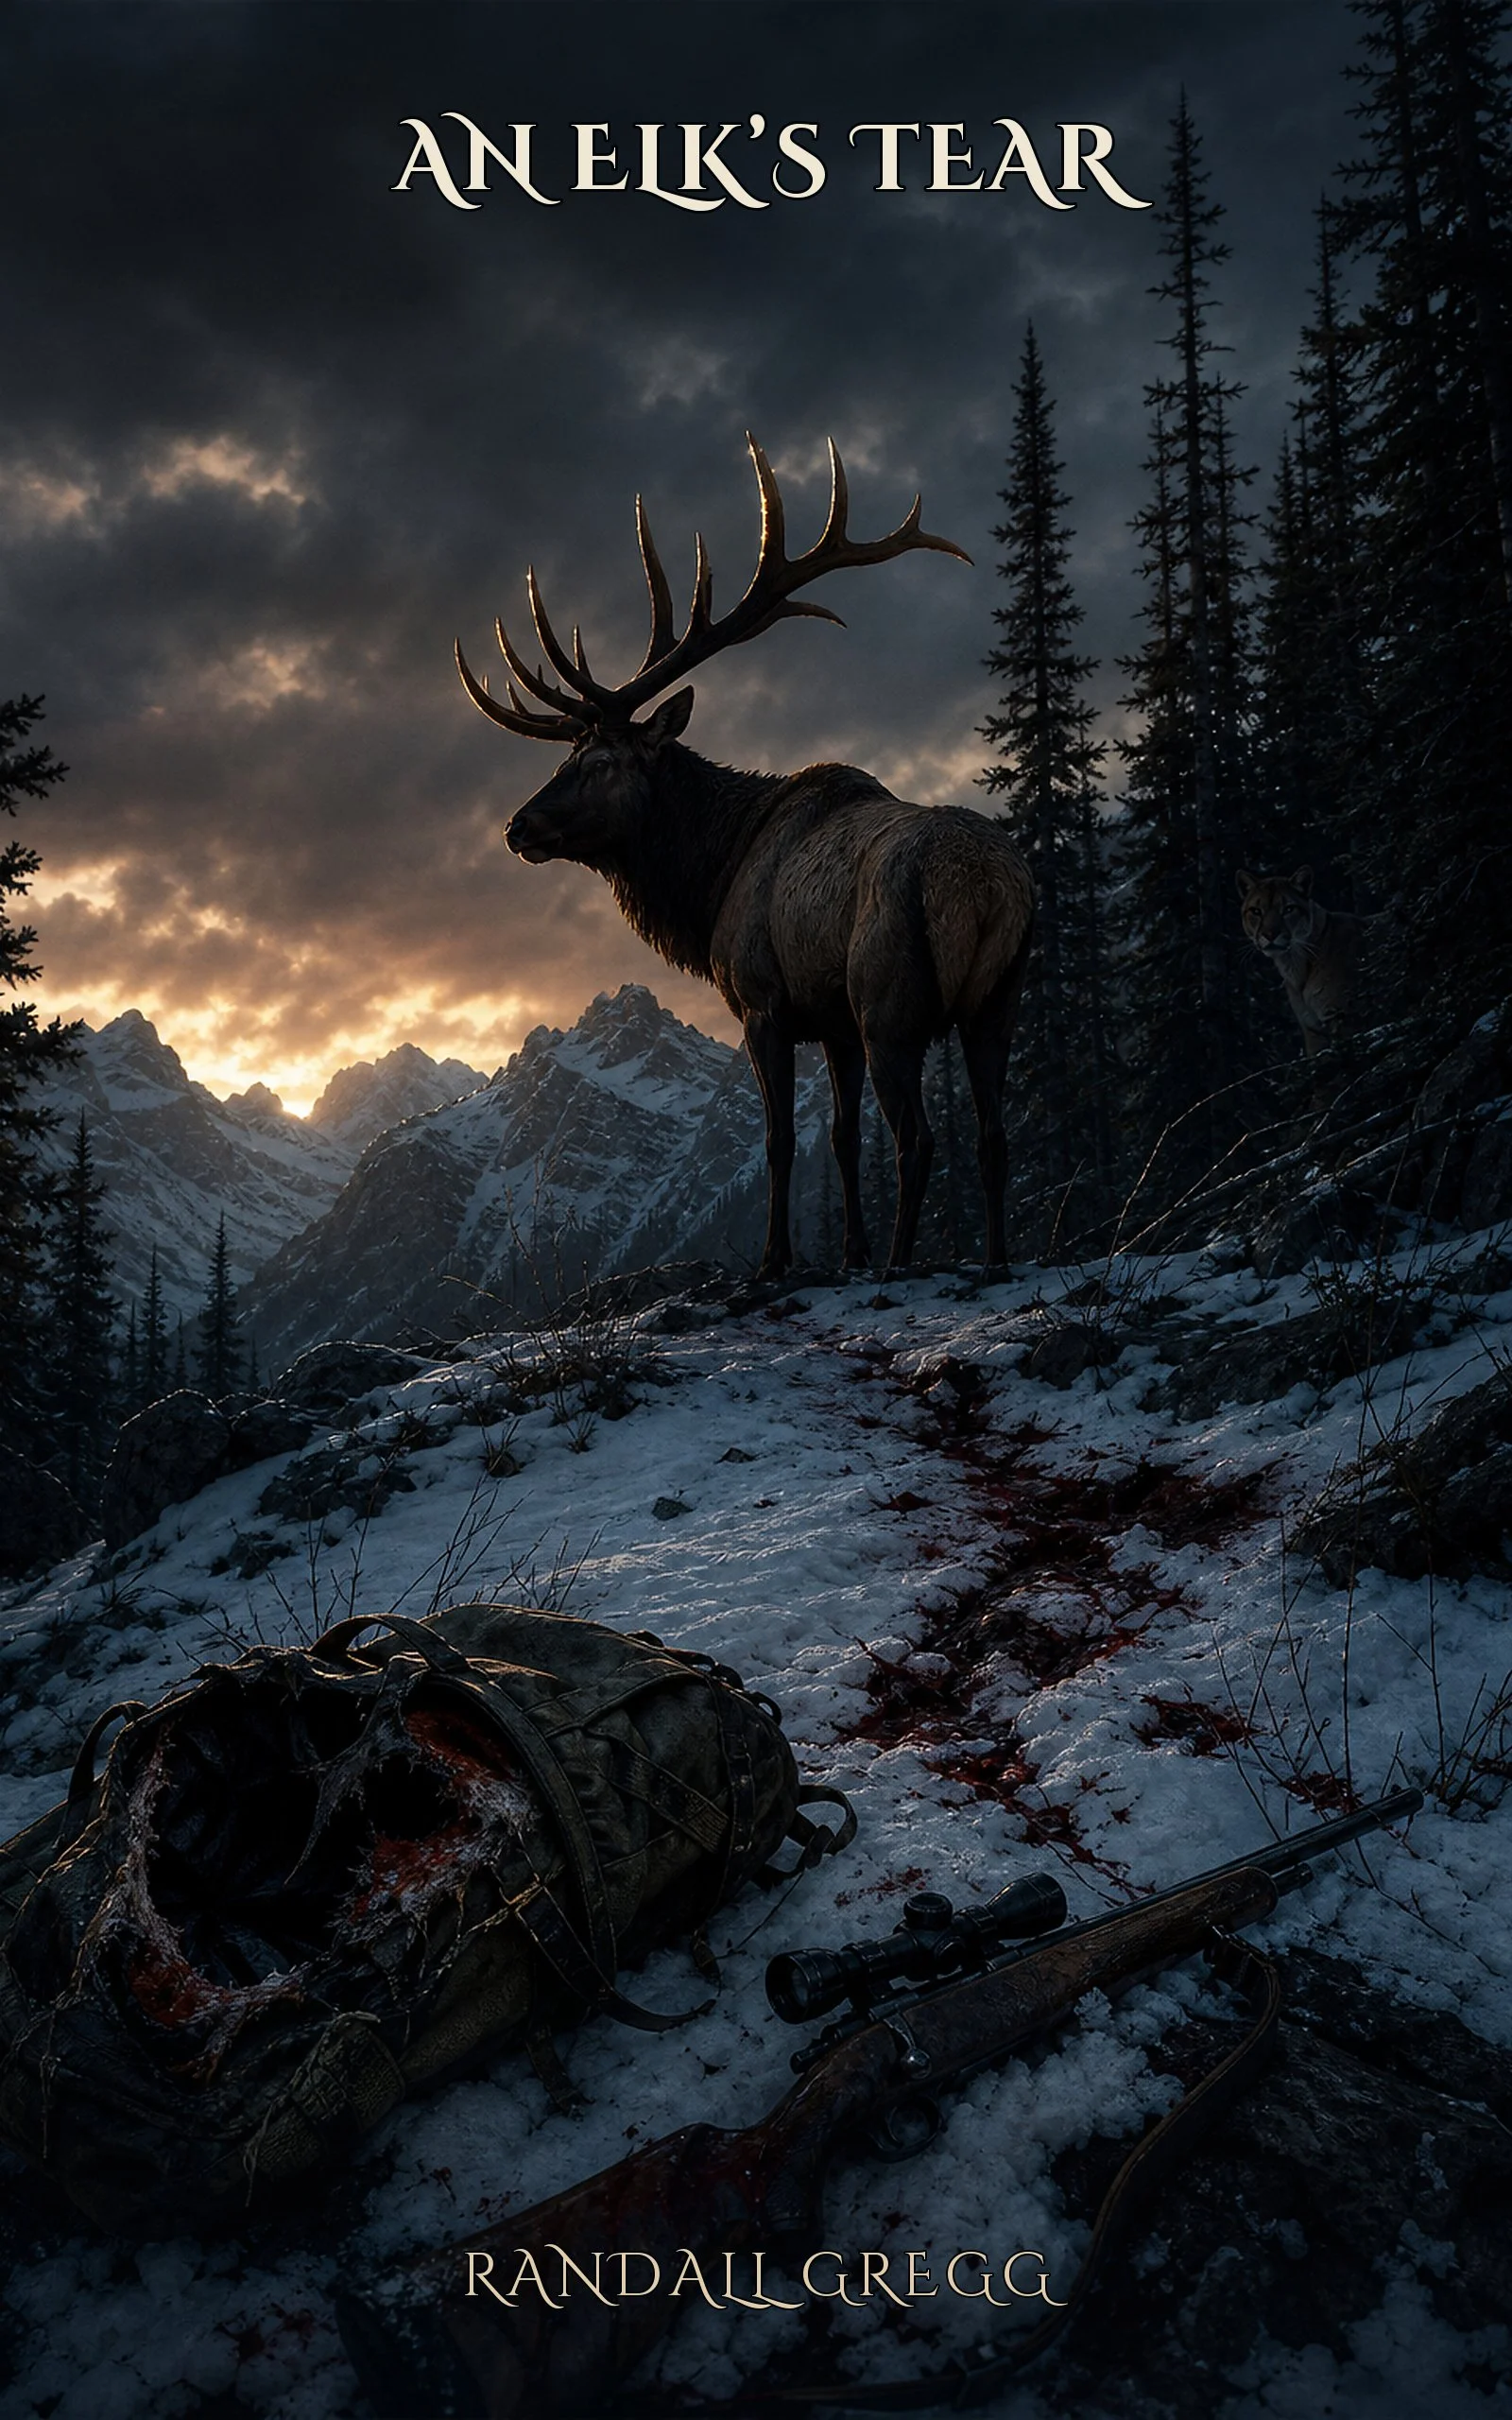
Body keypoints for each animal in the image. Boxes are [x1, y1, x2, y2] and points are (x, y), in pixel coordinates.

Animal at [456, 433, 1035, 1278]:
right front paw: (850, 1250)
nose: (518, 826)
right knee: (994, 1137)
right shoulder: (832, 1022)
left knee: (920, 1140)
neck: (712, 880)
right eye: (568, 757)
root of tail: (988, 888)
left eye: (600, 763)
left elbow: (781, 1140)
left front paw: (775, 1258)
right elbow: (842, 1138)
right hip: (998, 1000)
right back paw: (993, 1258)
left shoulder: (765, 1000)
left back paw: (901, 1262)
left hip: (890, 1001)